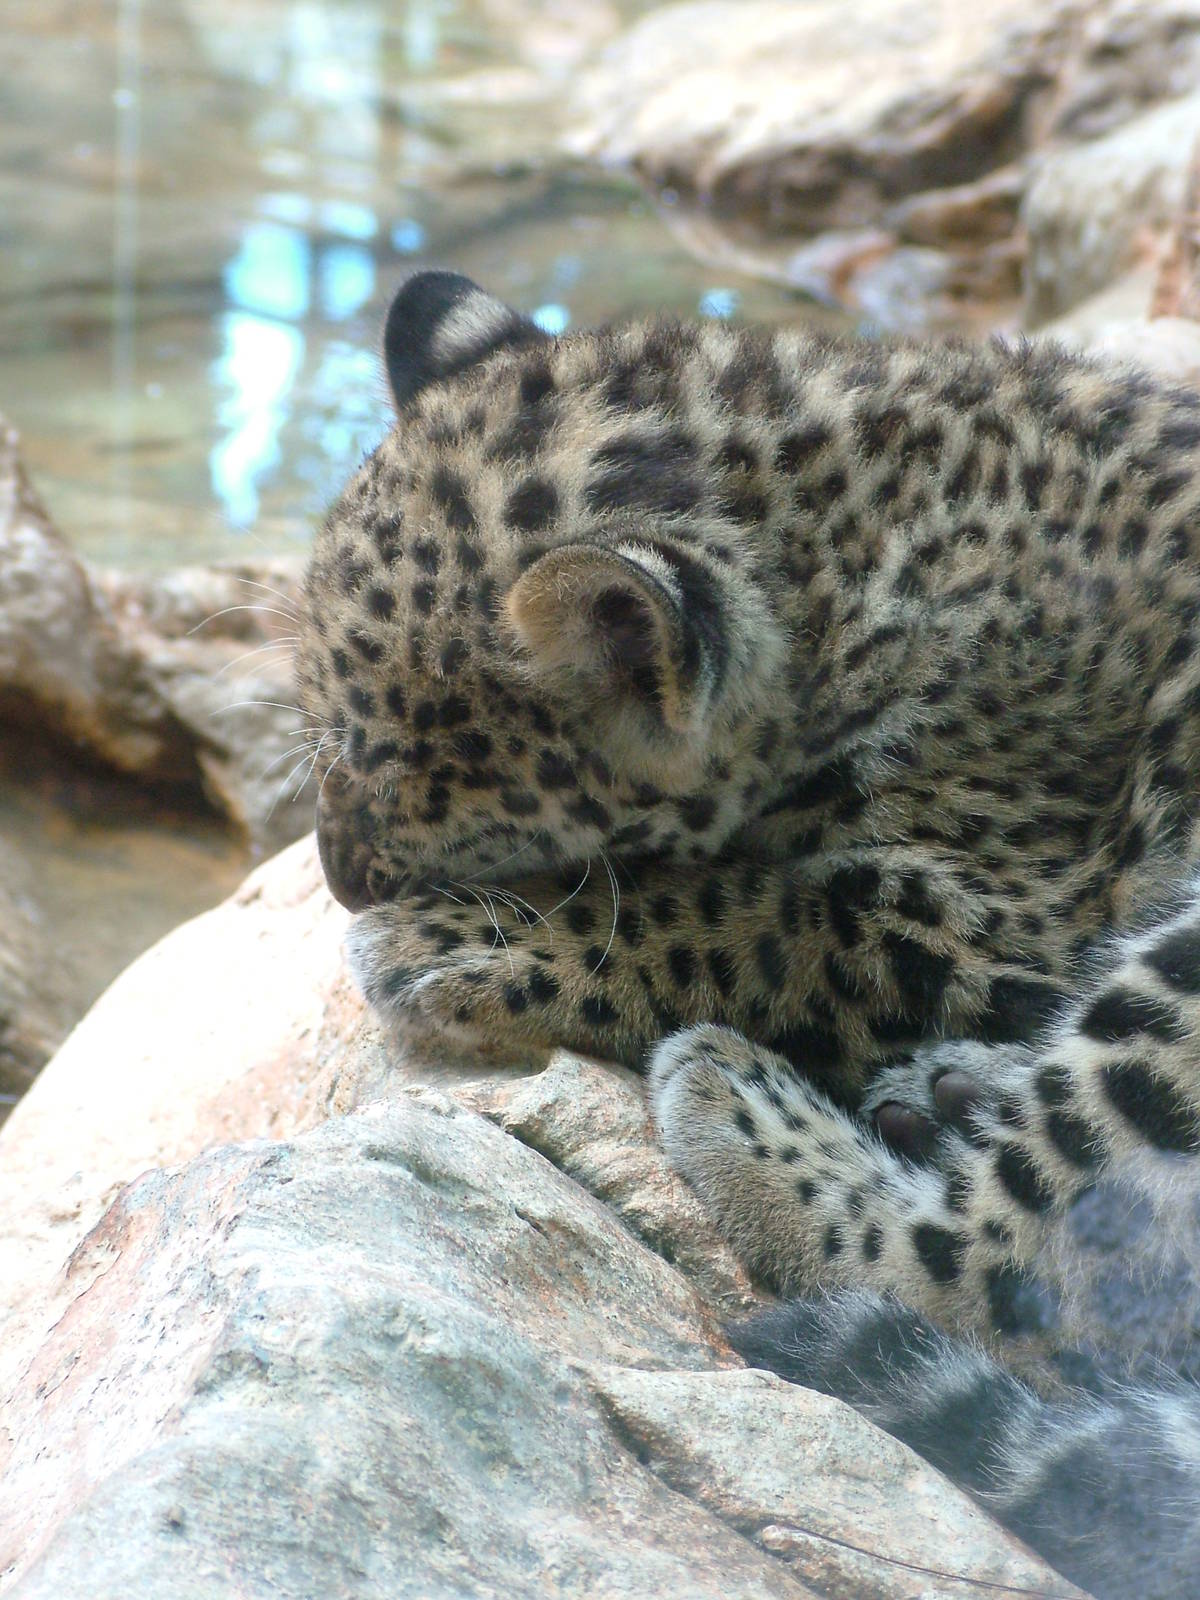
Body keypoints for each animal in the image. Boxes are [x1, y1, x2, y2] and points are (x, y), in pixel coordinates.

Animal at [296, 270, 1200, 1599]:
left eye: (375, 756)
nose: (336, 875)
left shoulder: (1005, 916)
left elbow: (744, 912)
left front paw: (457, 939)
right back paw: (949, 1092)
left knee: (1003, 1278)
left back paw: (750, 1104)